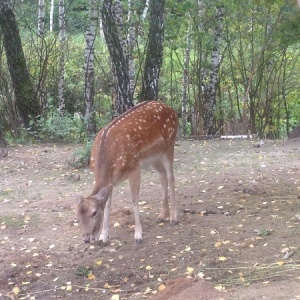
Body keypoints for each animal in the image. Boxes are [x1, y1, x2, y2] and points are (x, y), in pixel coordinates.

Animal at [76, 99, 178, 245]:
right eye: (77, 217)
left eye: (94, 213)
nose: (86, 238)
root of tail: (173, 110)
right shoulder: (111, 180)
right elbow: (108, 205)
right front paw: (103, 236)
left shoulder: (134, 167)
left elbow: (134, 200)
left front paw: (138, 235)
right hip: (153, 157)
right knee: (162, 175)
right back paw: (162, 216)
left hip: (169, 144)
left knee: (171, 176)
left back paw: (174, 217)